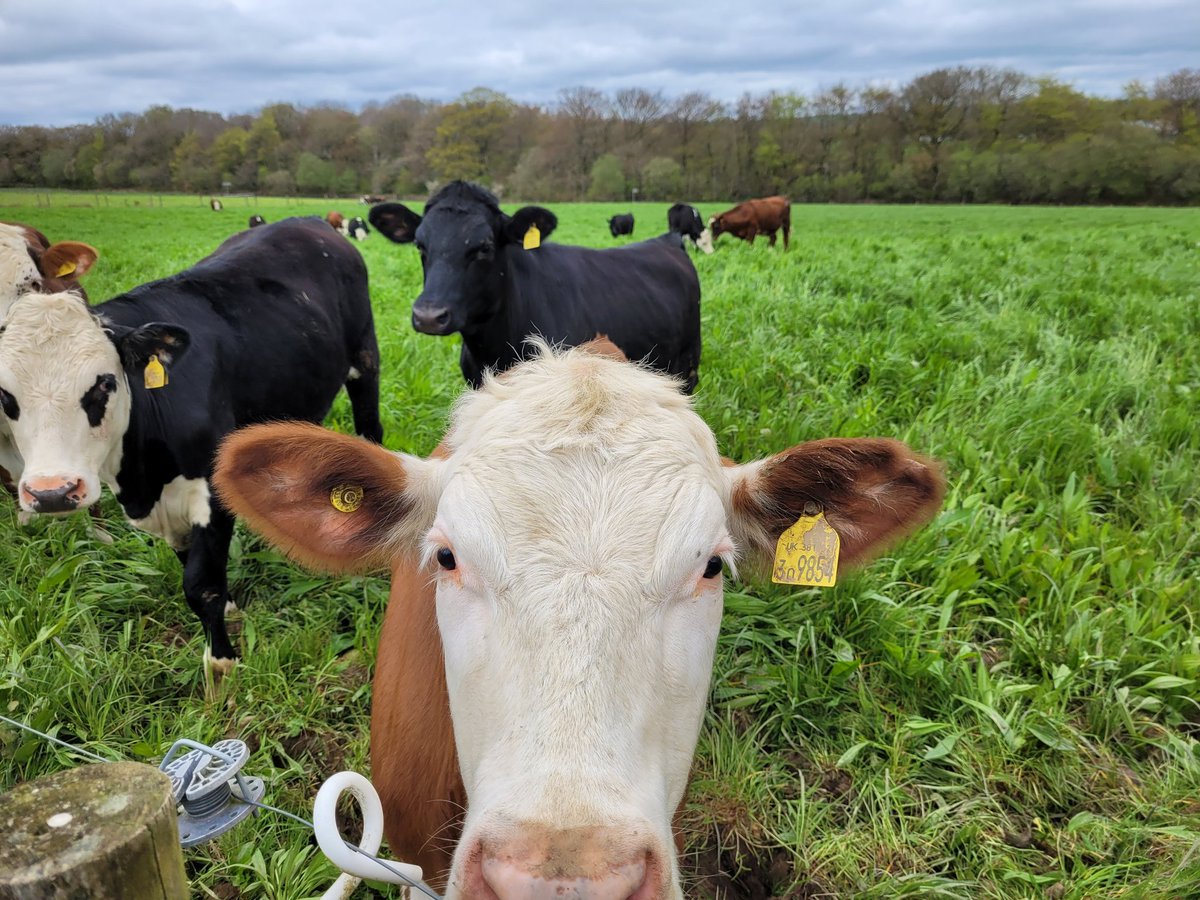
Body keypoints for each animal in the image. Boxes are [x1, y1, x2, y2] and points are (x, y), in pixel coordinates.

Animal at [0, 217, 384, 672]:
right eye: (5, 395)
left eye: (104, 384)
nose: (52, 493)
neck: (143, 477)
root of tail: (306, 222)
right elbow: (194, 568)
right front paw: (231, 607)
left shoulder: (210, 493)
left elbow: (201, 585)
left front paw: (222, 662)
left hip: (365, 360)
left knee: (371, 430)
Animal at [368, 181, 702, 392]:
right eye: (419, 245)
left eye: (485, 247)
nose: (428, 316)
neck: (493, 347)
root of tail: (668, 239)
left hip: (687, 366)